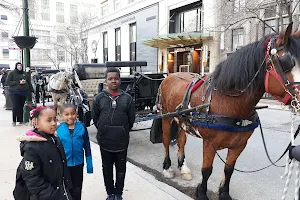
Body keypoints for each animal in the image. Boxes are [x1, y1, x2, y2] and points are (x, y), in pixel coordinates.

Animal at [158, 23, 300, 198]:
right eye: (286, 62)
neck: (230, 102)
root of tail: (170, 75)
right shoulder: (210, 143)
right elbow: (206, 170)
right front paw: (202, 193)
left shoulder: (239, 145)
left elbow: (229, 170)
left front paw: (224, 193)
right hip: (166, 117)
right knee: (166, 141)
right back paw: (167, 167)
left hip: (182, 121)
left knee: (181, 141)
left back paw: (183, 168)